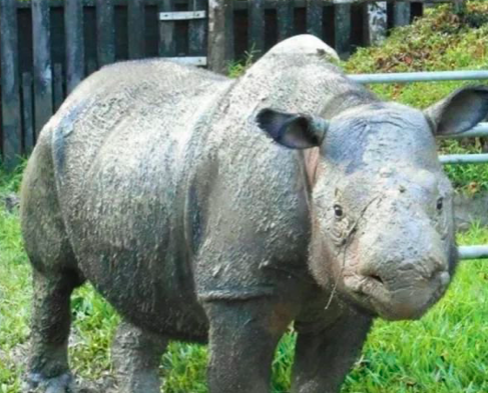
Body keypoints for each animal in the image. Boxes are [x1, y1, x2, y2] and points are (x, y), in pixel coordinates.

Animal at [21, 34, 488, 392]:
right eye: (336, 211)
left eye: (442, 203)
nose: (405, 278)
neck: (337, 110)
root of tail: (76, 93)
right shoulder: (239, 291)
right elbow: (240, 376)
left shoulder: (348, 289)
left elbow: (320, 379)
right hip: (47, 145)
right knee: (53, 273)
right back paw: (48, 383)